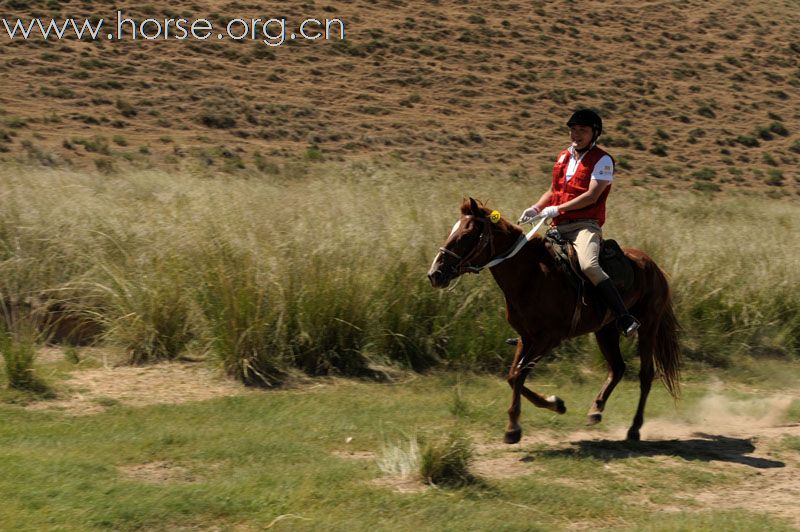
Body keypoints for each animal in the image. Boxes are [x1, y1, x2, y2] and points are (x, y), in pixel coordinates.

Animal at [424, 197, 680, 442]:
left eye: (466, 235)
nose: (435, 274)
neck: (531, 275)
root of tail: (654, 266)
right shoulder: (526, 337)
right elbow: (513, 376)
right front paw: (555, 404)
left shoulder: (548, 339)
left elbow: (518, 374)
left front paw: (514, 428)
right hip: (605, 331)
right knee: (617, 368)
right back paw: (596, 410)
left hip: (647, 328)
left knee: (645, 375)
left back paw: (634, 428)